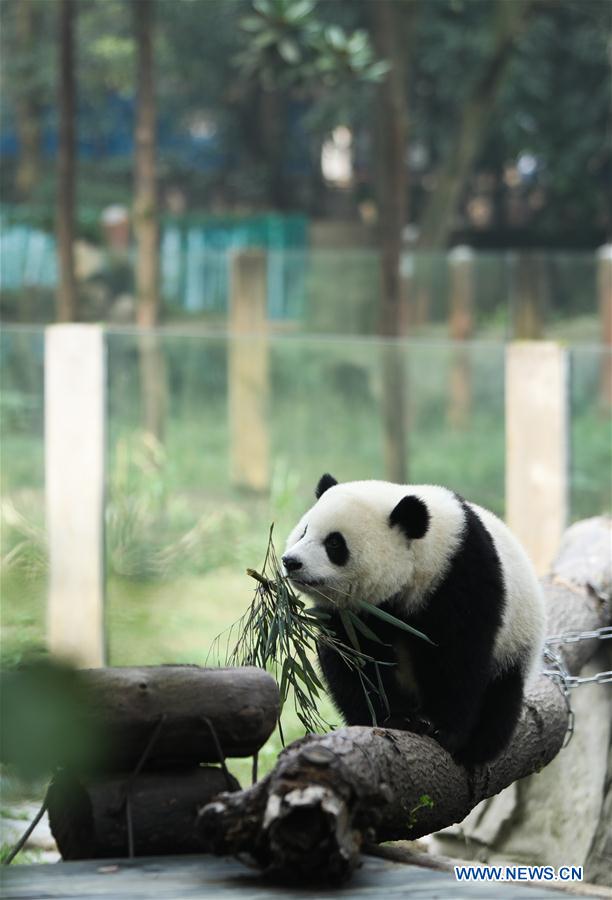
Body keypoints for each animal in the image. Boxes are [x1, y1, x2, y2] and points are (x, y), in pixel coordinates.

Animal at [282, 474, 546, 766]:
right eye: (304, 531)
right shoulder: (352, 614)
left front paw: (443, 730)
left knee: (501, 697)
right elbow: (356, 662)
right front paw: (395, 719)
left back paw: (479, 747)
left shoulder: (461, 576)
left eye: (334, 543)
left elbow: (458, 657)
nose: (291, 562)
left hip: (517, 640)